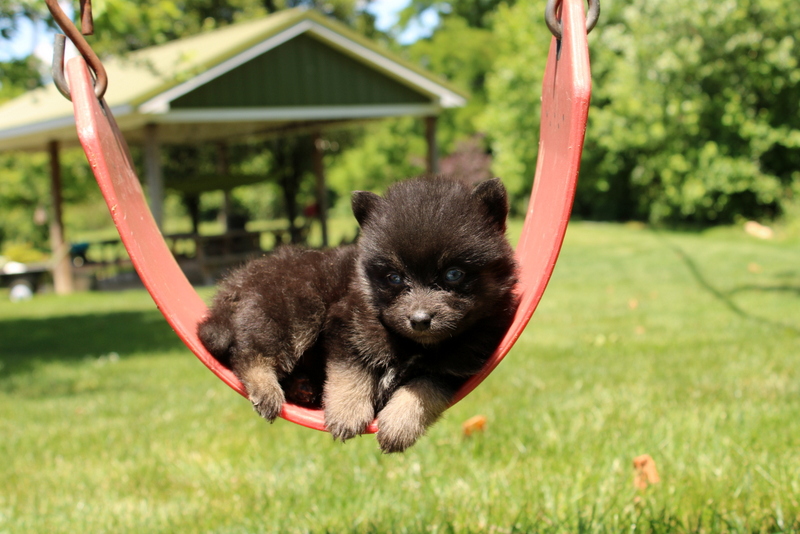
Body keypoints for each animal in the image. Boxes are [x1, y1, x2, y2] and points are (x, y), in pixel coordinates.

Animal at [197, 178, 516, 454]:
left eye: (453, 274)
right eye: (394, 277)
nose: (420, 320)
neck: (410, 343)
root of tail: (237, 283)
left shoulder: (457, 364)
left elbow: (423, 388)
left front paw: (399, 424)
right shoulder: (346, 325)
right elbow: (351, 372)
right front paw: (347, 412)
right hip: (295, 307)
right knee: (249, 353)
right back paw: (267, 389)